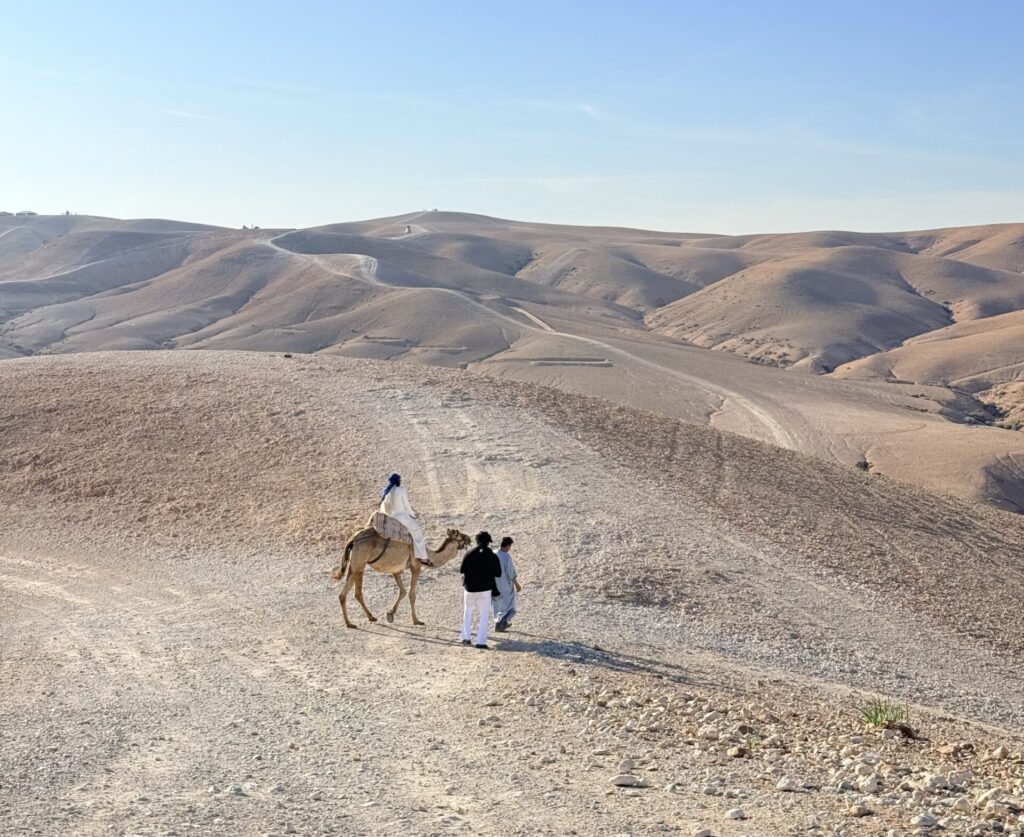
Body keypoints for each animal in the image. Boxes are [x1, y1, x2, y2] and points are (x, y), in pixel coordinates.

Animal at [331, 526, 471, 629]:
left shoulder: (396, 570)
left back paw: (370, 618)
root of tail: (353, 539)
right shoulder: (416, 567)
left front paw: (390, 615)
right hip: (359, 562)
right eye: (460, 535)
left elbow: (403, 591)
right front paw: (417, 620)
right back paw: (350, 623)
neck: (429, 555)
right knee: (346, 594)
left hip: (356, 565)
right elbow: (411, 594)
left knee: (355, 593)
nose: (470, 538)